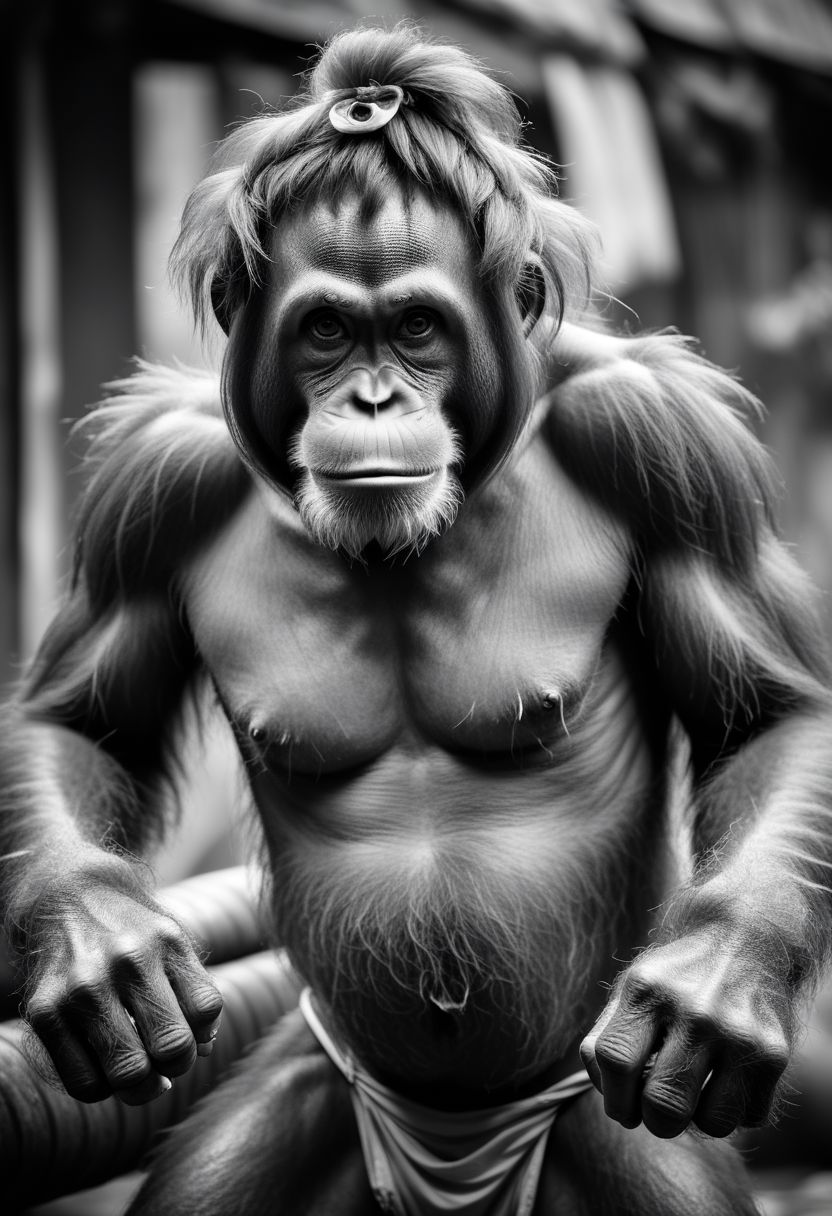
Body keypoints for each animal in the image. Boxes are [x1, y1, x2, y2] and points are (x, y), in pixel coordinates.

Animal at [2, 25, 832, 1216]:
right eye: (327, 331)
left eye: (416, 327)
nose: (374, 398)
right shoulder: (154, 485)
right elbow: (84, 724)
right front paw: (98, 943)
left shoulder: (663, 443)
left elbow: (766, 713)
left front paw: (717, 978)